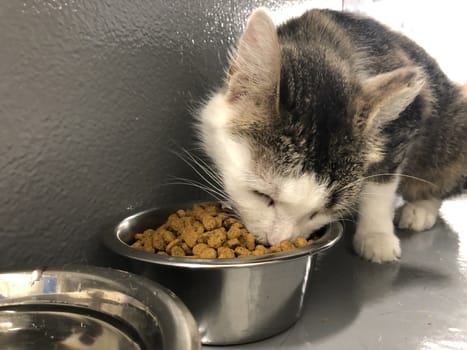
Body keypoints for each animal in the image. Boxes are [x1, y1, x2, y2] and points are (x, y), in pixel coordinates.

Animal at [195, 7, 467, 262]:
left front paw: (376, 237)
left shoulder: (408, 117)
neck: (324, 45)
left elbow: (381, 183)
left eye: (317, 213)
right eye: (261, 195)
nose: (277, 240)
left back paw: (420, 208)